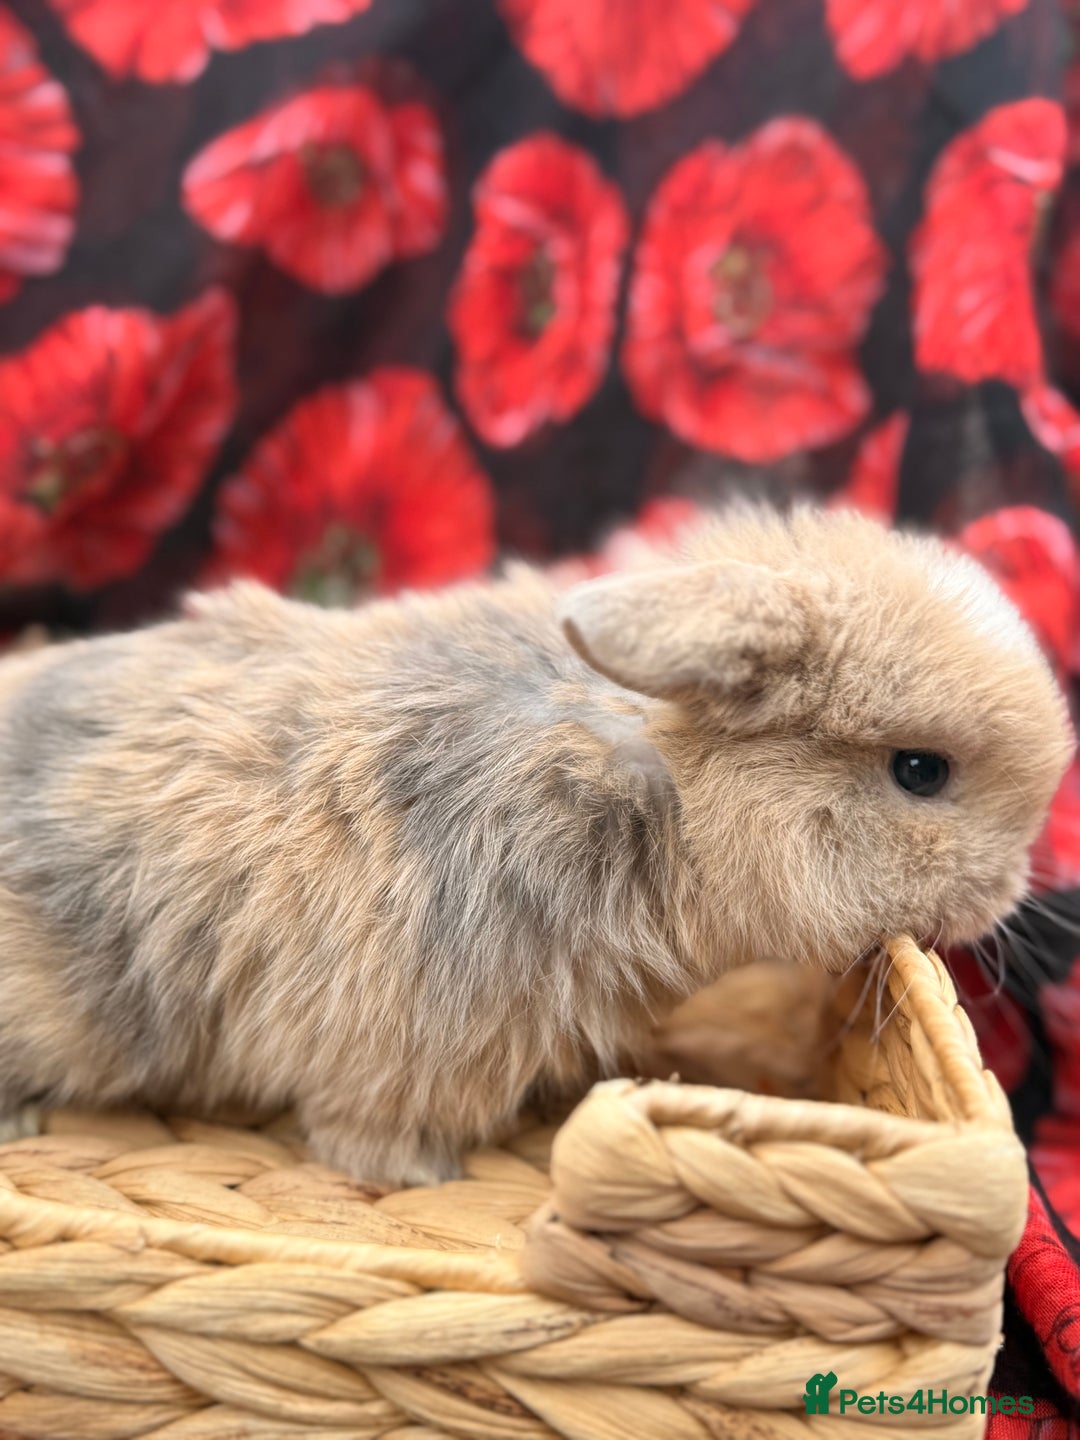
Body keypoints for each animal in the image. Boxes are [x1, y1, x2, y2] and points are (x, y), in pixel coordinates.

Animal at [0, 504, 1071, 1185]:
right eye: (920, 771)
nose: (1013, 893)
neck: (658, 790)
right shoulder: (410, 1036)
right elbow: (366, 1128)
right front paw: (416, 1176)